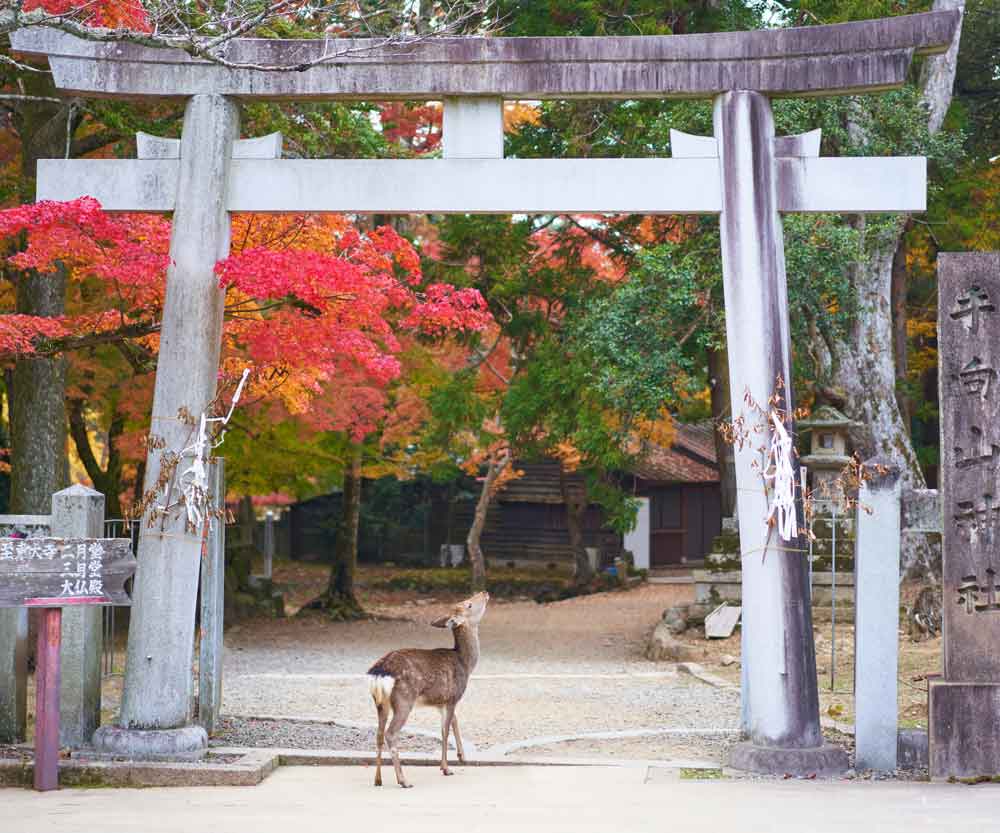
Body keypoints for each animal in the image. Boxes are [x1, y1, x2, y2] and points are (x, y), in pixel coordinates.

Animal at [366, 590, 489, 788]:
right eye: (468, 604)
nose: (484, 592)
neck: (465, 663)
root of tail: (378, 672)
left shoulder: (441, 702)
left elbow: (453, 723)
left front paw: (462, 757)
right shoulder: (453, 696)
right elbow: (445, 731)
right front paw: (446, 768)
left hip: (380, 703)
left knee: (378, 734)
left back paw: (378, 780)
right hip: (404, 700)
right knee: (390, 734)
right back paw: (403, 780)